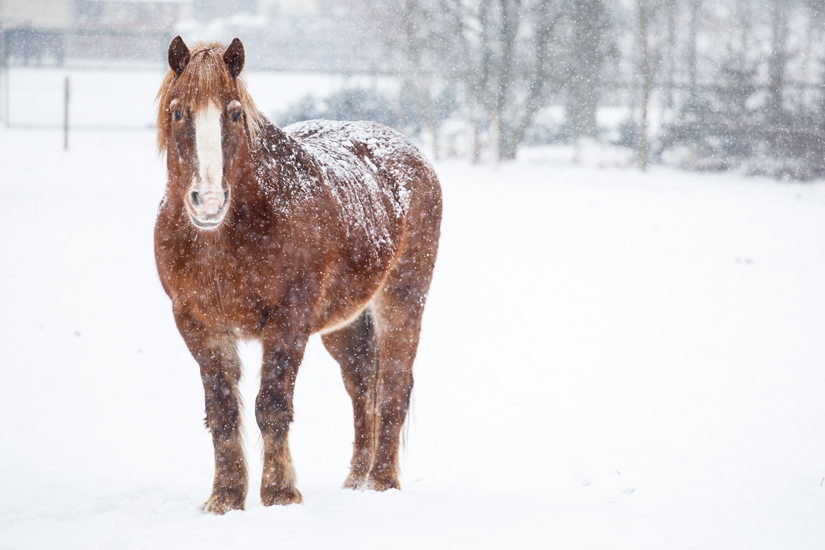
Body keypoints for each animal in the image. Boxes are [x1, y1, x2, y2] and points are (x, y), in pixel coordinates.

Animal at [152, 36, 440, 516]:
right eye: (177, 112)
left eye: (235, 113)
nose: (208, 201)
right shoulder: (198, 325)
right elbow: (223, 410)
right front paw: (225, 498)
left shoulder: (288, 322)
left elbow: (270, 406)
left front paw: (280, 495)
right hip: (343, 326)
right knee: (362, 386)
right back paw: (355, 481)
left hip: (402, 301)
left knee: (393, 388)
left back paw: (381, 485)